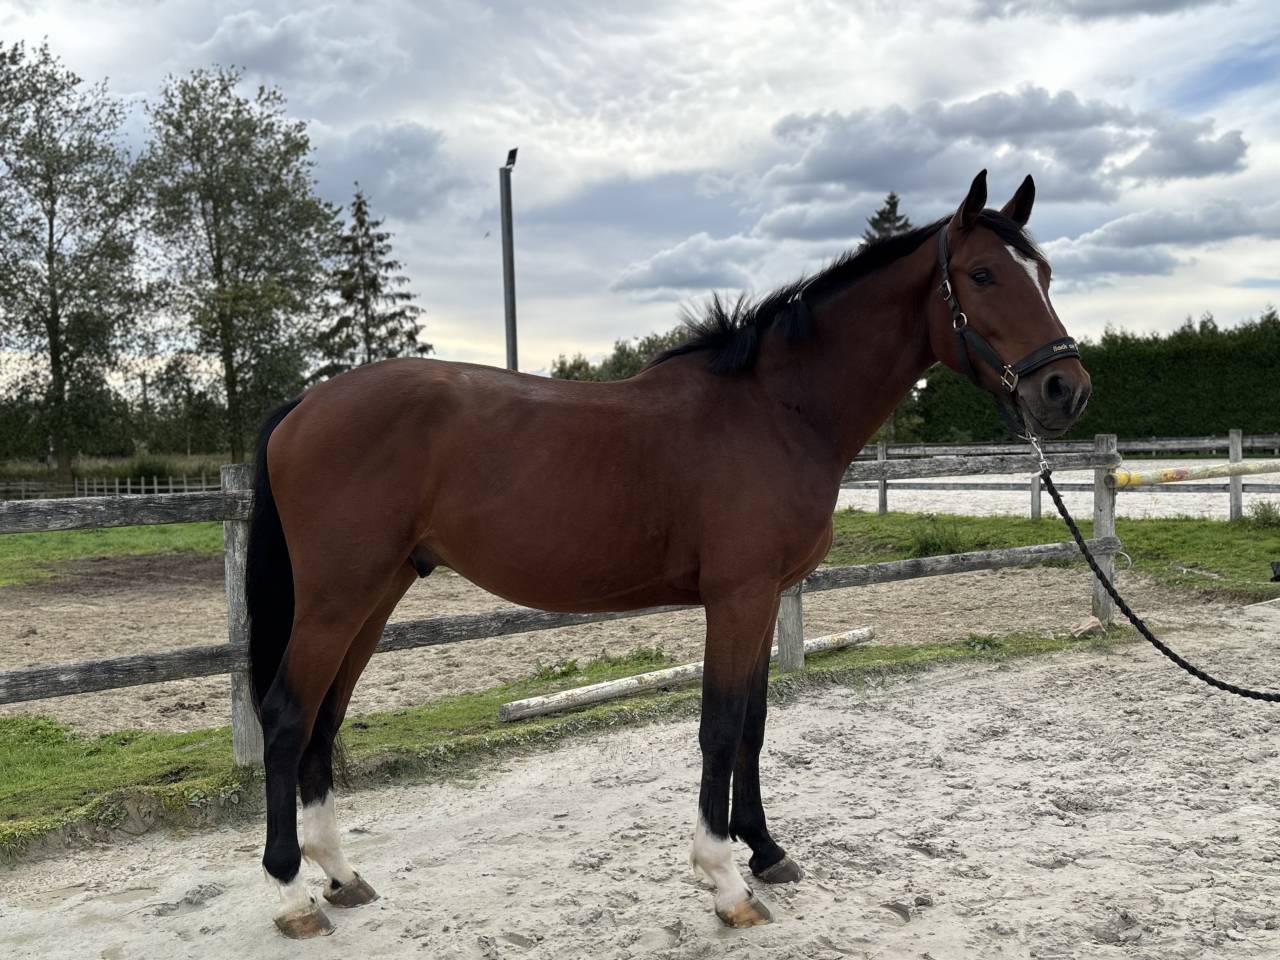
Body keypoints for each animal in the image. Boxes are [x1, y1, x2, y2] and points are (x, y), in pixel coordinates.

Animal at [245, 170, 1092, 938]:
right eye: (982, 274)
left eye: (1044, 273)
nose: (1066, 389)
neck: (777, 411)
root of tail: (306, 404)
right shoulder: (739, 596)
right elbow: (718, 726)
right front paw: (726, 883)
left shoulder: (764, 598)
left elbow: (753, 724)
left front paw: (766, 851)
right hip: (338, 597)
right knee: (288, 717)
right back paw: (290, 895)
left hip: (379, 590)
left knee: (326, 717)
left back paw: (340, 875)